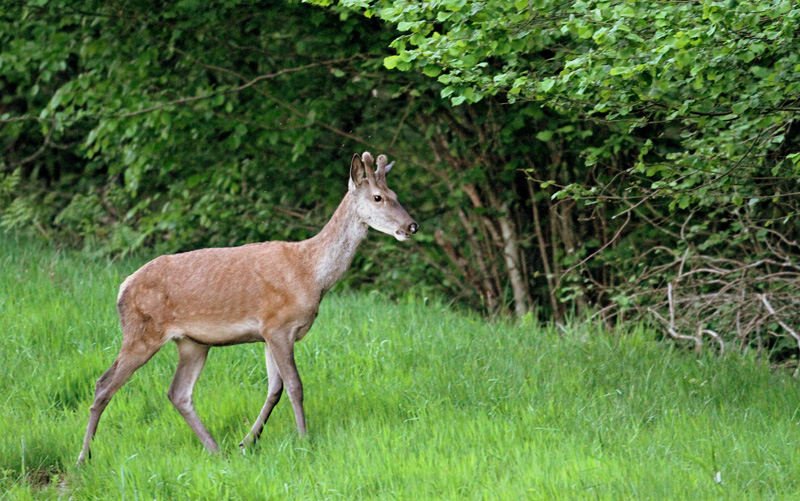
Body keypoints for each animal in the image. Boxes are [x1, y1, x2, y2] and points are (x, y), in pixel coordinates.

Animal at [77, 152, 418, 464]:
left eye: (396, 195)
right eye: (378, 197)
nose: (412, 225)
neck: (311, 274)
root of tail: (122, 288)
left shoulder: (268, 334)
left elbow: (274, 389)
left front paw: (248, 442)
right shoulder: (278, 325)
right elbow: (294, 386)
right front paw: (304, 441)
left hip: (192, 342)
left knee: (178, 392)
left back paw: (215, 449)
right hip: (142, 331)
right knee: (104, 384)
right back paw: (84, 457)